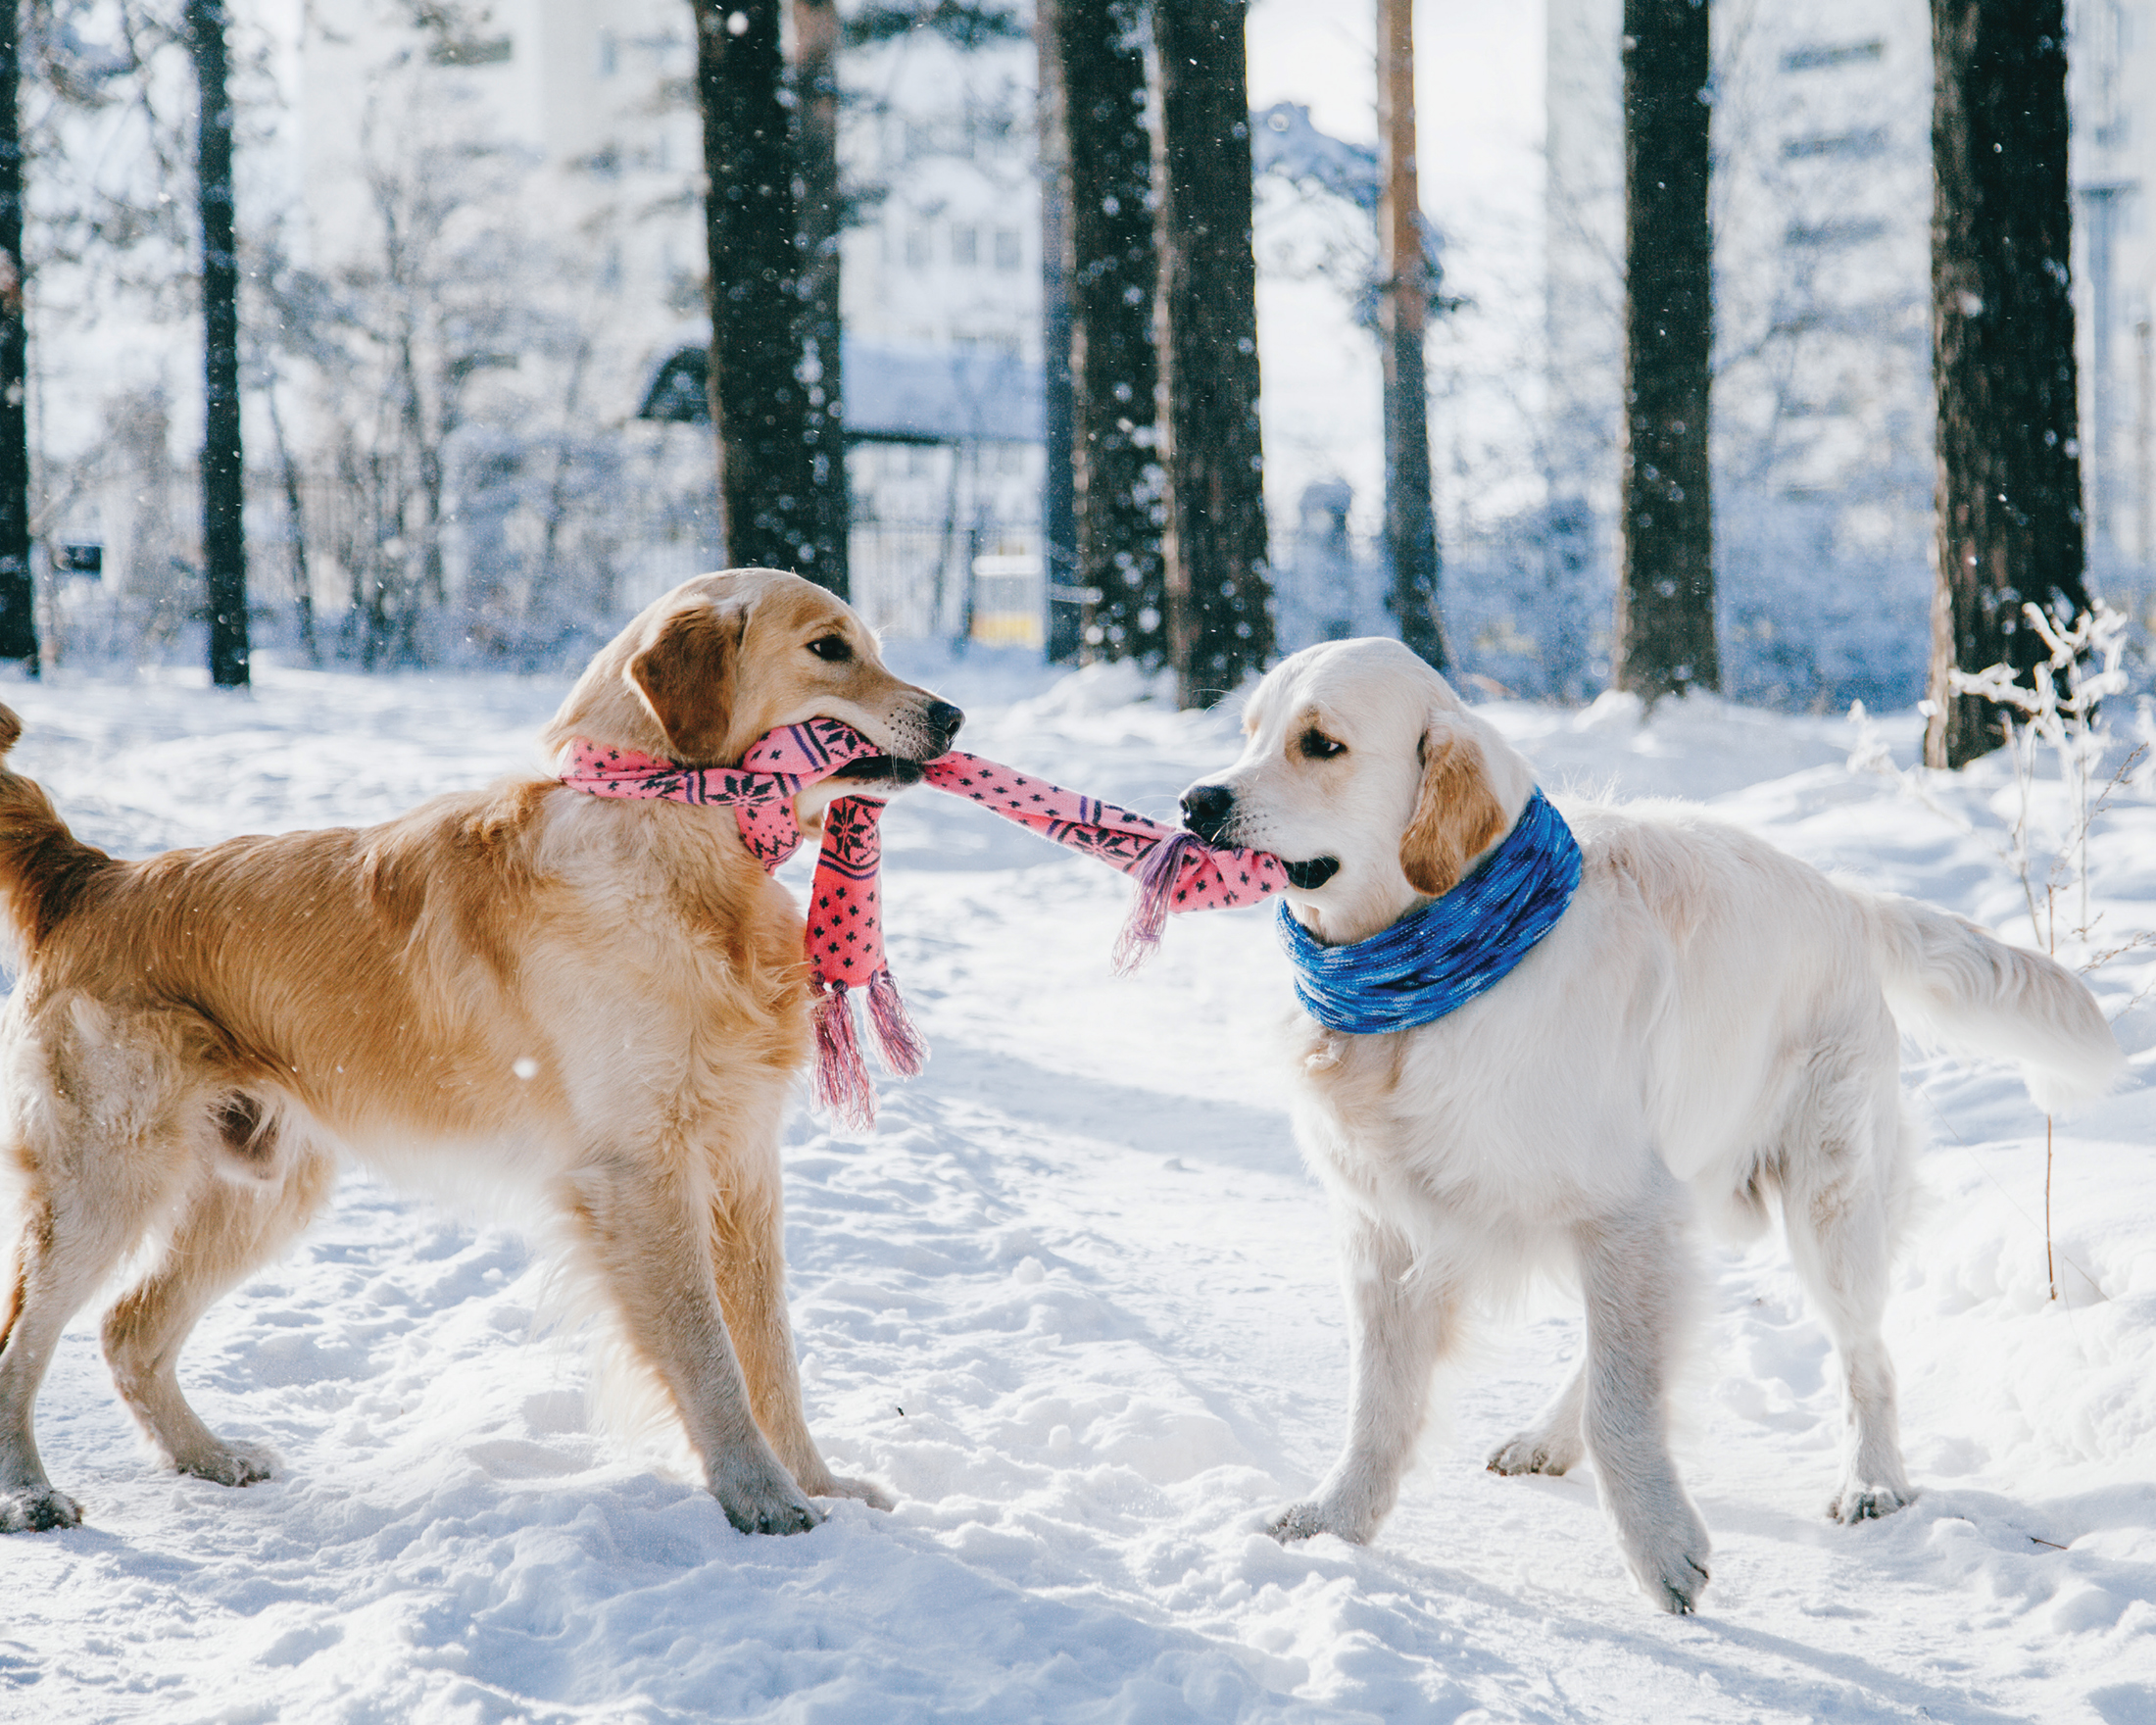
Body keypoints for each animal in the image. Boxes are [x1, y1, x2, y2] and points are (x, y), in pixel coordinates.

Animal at [0, 565, 961, 1535]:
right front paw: (761, 1496)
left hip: (265, 1188)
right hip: (106, 1179)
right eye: (829, 648)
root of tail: (89, 875)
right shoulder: (641, 1171)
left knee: (129, 1329)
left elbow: (771, 1351)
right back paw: (29, 1492)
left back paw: (208, 1455)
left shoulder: (743, 1160)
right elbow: (709, 1351)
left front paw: (820, 1484)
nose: (953, 716)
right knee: (23, 1343)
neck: (676, 835)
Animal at [1190, 638, 2130, 1621]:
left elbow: (1625, 1401)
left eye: (1321, 744)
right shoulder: (1391, 1229)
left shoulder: (1623, 1207)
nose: (1194, 802)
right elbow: (1379, 1402)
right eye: (1250, 733)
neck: (1427, 983)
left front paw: (1659, 1546)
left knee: (1864, 1357)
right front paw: (1337, 1520)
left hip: (1828, 1203)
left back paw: (1871, 1480)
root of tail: (1845, 897)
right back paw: (1549, 1435)